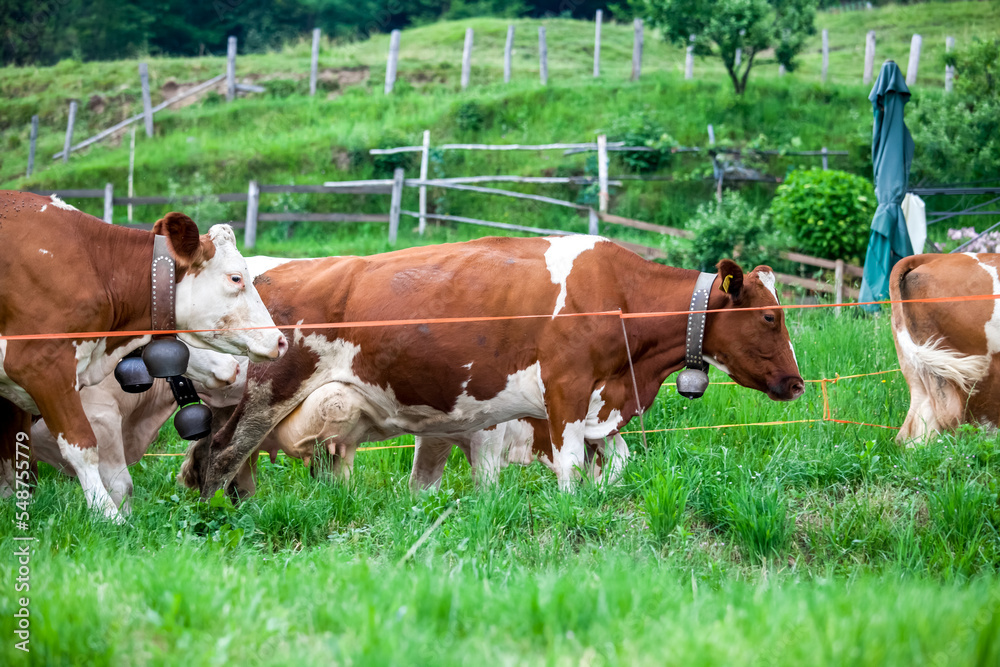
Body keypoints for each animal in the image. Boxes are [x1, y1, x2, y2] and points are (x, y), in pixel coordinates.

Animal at [180, 237, 804, 498]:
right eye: (770, 316)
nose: (797, 383)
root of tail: (262, 271)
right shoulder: (567, 390)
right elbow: (571, 469)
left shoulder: (600, 403)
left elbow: (616, 461)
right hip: (267, 392)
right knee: (221, 456)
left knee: (220, 456)